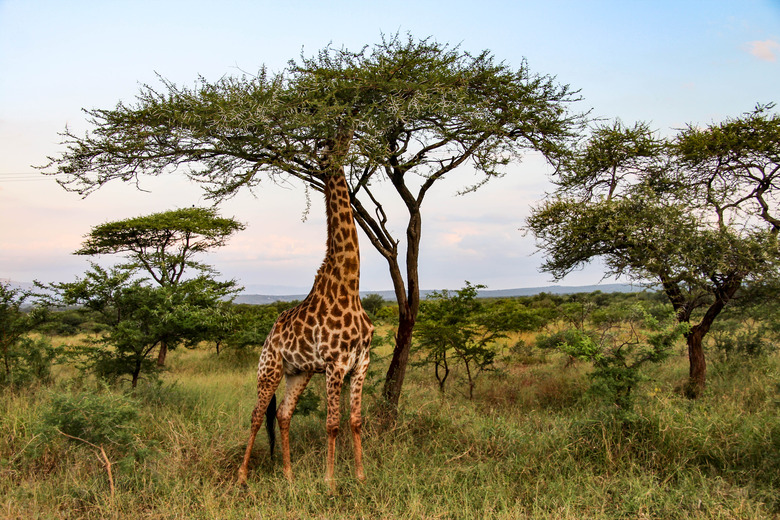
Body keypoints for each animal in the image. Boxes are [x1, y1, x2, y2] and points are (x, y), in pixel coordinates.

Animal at [236, 158, 374, 492]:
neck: (350, 284)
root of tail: (268, 336)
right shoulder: (336, 364)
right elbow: (332, 424)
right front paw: (330, 481)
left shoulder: (361, 363)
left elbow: (355, 421)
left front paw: (361, 477)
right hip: (269, 369)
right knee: (257, 415)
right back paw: (242, 476)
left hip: (299, 372)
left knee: (283, 414)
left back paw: (288, 475)